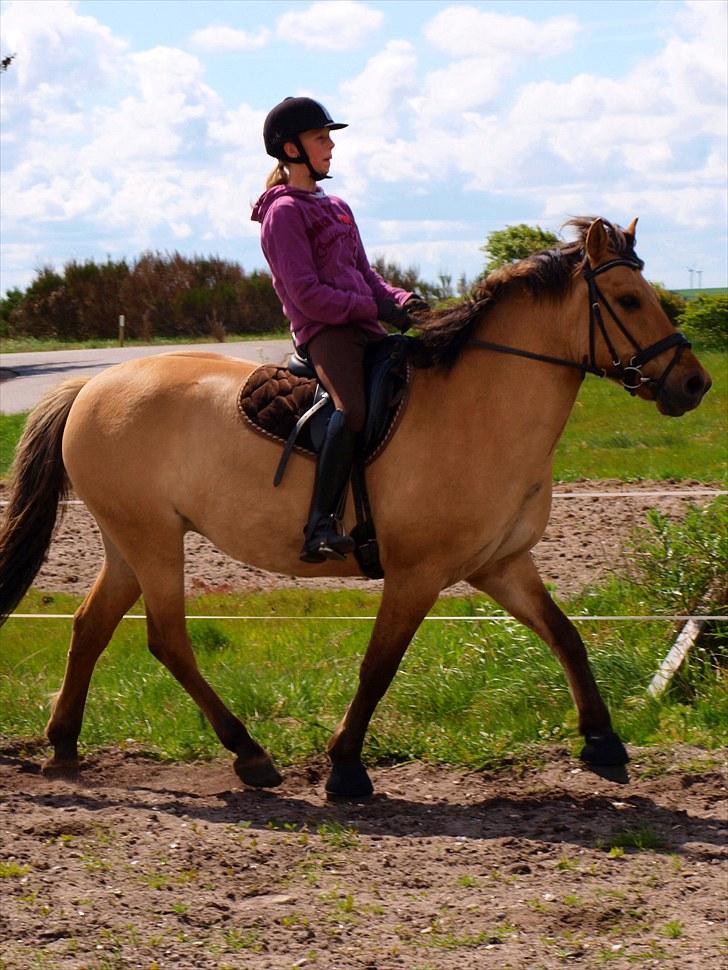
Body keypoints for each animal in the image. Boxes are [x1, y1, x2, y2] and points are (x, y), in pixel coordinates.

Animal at [0, 217, 712, 796]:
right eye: (628, 300)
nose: (694, 383)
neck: (478, 408)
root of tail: (93, 383)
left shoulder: (502, 565)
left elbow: (566, 635)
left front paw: (603, 741)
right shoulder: (417, 574)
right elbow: (379, 665)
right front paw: (345, 768)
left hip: (129, 540)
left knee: (91, 626)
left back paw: (64, 745)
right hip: (152, 540)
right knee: (167, 638)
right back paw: (249, 754)